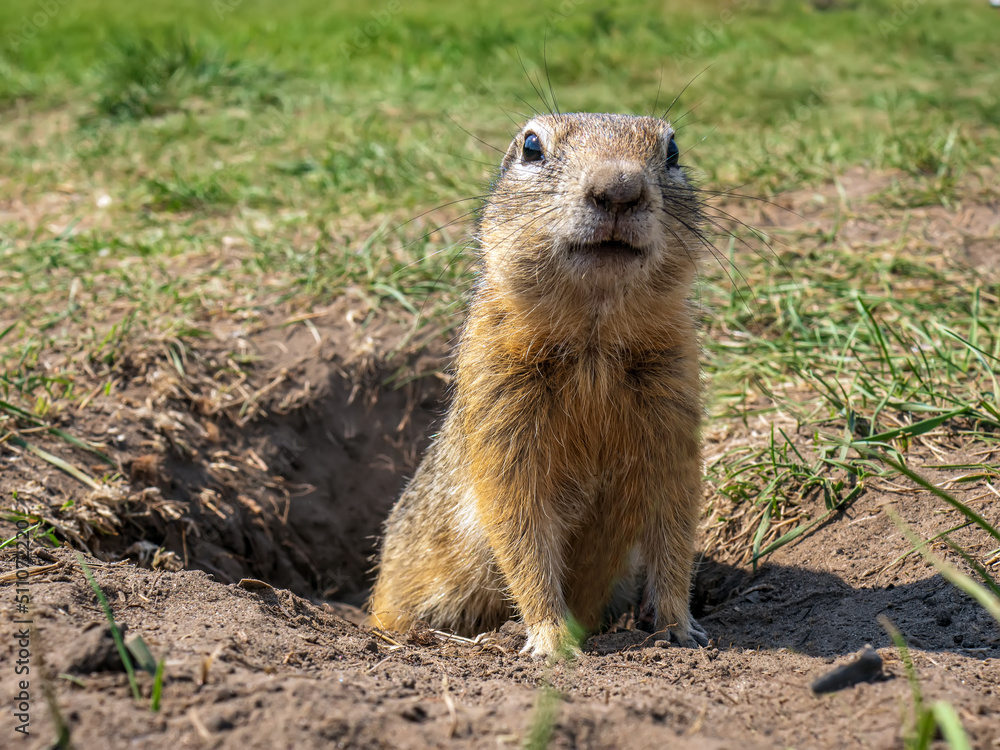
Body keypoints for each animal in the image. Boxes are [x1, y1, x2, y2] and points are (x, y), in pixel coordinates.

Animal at [372, 111, 708, 656]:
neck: (594, 341)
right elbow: (519, 523)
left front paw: (679, 625)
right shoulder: (500, 401)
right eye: (531, 147)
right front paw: (550, 638)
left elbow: (675, 515)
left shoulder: (675, 399)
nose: (619, 187)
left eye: (673, 151)